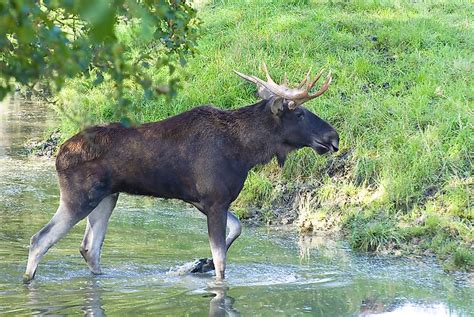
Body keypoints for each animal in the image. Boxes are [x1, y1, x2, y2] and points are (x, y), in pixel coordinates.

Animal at [24, 63, 338, 282]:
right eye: (300, 113)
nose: (333, 137)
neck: (246, 151)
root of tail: (59, 154)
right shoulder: (214, 199)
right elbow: (222, 261)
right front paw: (207, 267)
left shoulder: (203, 200)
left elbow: (236, 230)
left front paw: (199, 264)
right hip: (79, 197)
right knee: (40, 239)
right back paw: (28, 280)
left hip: (107, 197)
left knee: (89, 249)